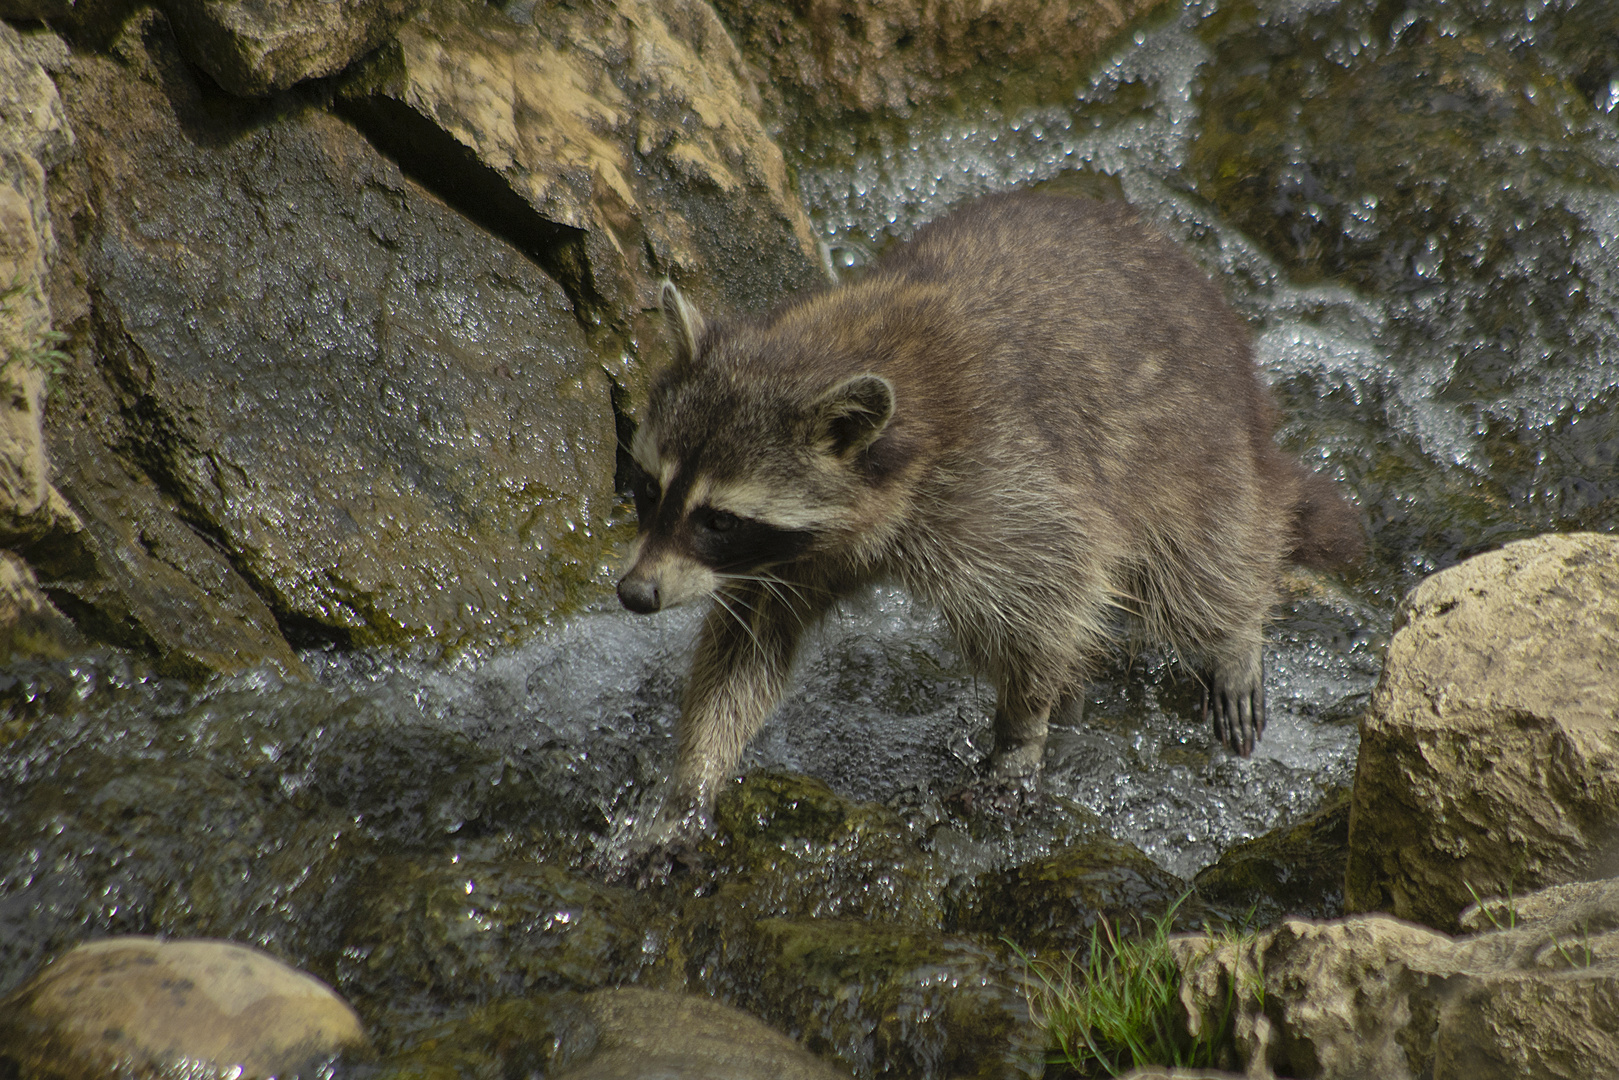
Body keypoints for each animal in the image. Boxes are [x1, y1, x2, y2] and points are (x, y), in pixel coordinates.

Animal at [611, 194, 1359, 841]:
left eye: (718, 519)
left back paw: (1231, 632)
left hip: (1193, 441)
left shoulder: (1000, 479)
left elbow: (1052, 592)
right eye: (648, 488)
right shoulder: (794, 553)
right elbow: (746, 645)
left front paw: (1019, 733)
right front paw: (693, 777)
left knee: (1204, 556)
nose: (635, 594)